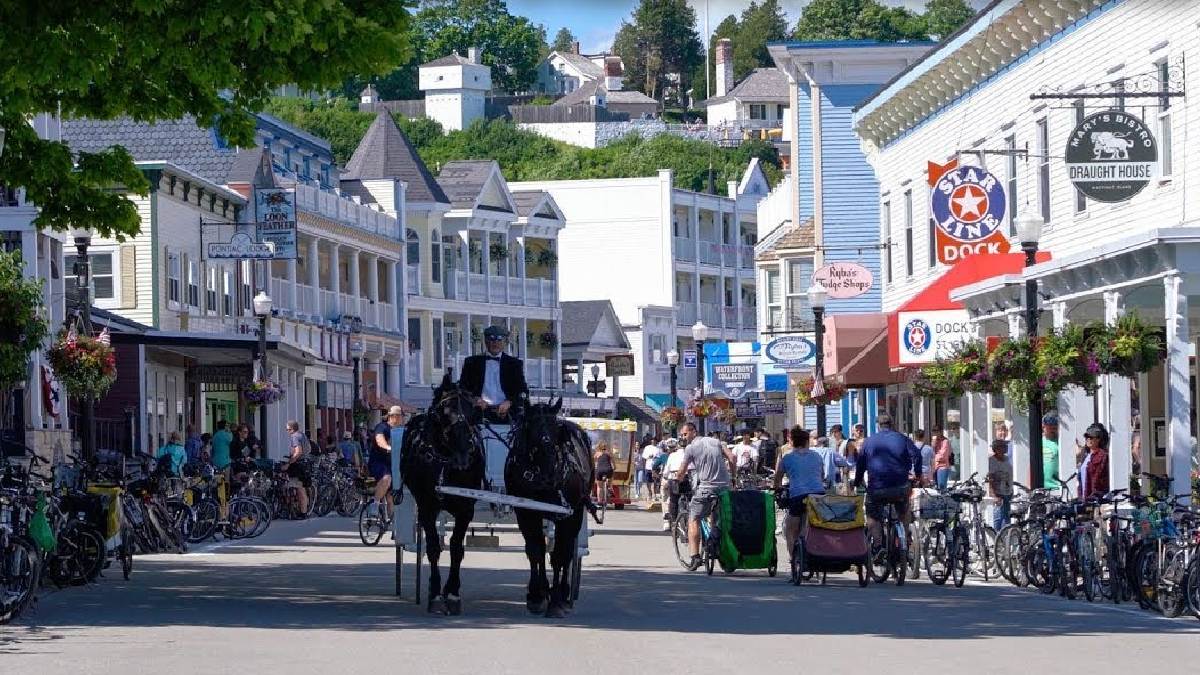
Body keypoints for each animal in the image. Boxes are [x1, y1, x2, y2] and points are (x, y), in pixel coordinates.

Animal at [403, 372, 487, 614]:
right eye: (444, 410)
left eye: (473, 411)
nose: (464, 453)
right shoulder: (427, 507)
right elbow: (433, 548)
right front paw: (435, 592)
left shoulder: (466, 508)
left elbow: (457, 548)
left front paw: (452, 591)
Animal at [506, 396, 595, 619]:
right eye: (530, 428)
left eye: (556, 430)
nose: (548, 471)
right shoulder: (526, 513)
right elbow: (535, 551)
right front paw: (536, 595)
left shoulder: (569, 515)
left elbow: (560, 555)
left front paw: (556, 600)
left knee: (567, 550)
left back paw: (563, 593)